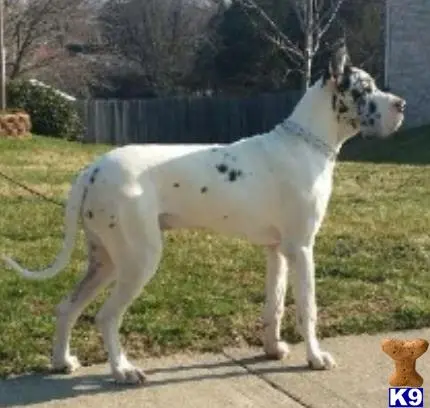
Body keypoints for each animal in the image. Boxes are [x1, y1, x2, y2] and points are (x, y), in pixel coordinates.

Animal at [1, 43, 404, 384]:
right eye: (365, 89)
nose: (400, 104)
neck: (306, 142)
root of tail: (92, 169)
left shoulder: (277, 251)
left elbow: (274, 305)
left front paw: (272, 349)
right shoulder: (302, 249)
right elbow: (308, 308)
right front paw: (315, 357)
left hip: (106, 260)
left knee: (67, 306)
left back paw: (61, 361)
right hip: (139, 259)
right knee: (106, 316)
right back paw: (122, 370)